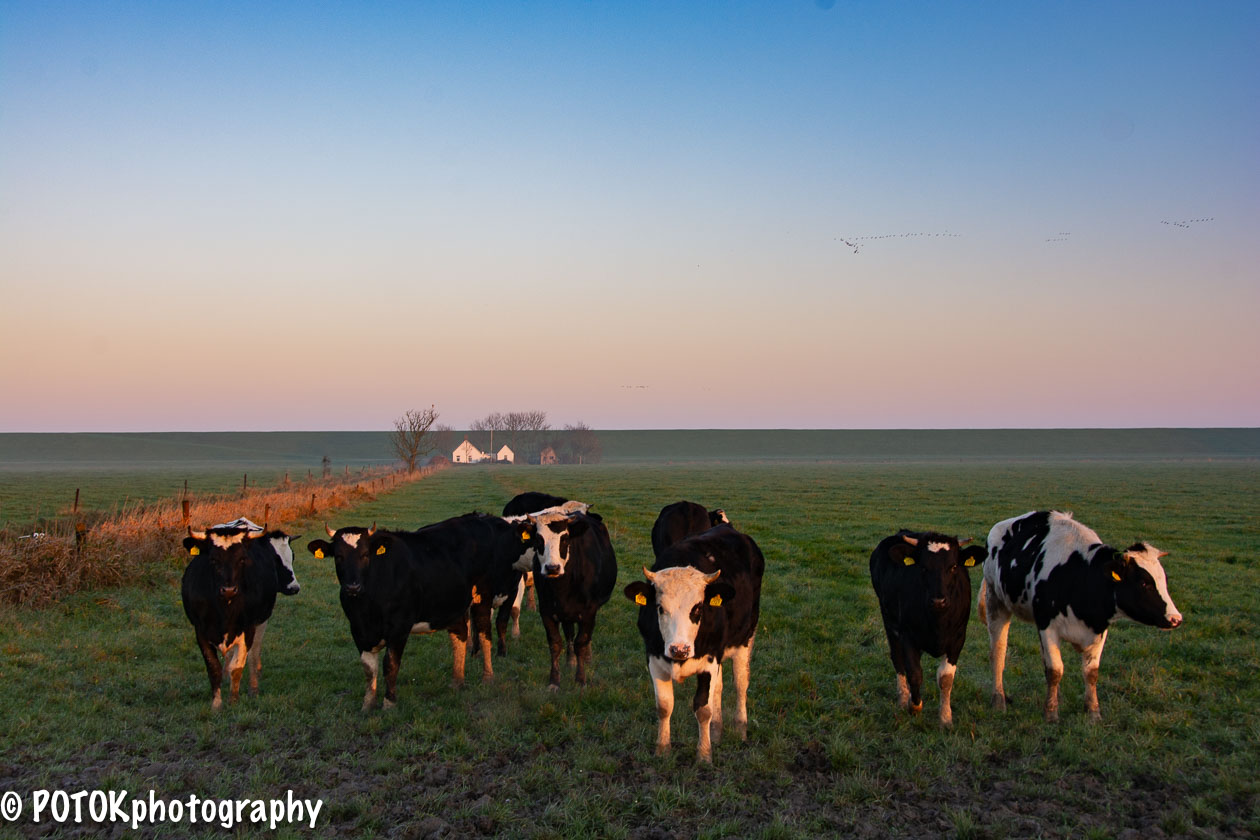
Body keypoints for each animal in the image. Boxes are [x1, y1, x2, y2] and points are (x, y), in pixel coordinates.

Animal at [506, 506, 614, 690]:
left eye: (565, 539)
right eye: (538, 539)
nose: (552, 568)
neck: (563, 586)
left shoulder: (589, 611)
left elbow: (581, 642)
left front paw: (580, 679)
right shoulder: (547, 611)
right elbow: (556, 643)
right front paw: (554, 681)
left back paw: (587, 658)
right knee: (569, 633)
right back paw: (570, 661)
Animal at [622, 521, 761, 765]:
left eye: (697, 608)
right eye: (660, 608)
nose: (679, 649)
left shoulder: (709, 661)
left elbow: (703, 709)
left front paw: (704, 755)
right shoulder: (654, 658)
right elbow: (664, 706)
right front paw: (662, 749)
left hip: (746, 636)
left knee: (741, 683)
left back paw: (740, 728)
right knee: (719, 688)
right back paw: (717, 732)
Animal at [866, 528, 982, 725]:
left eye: (953, 567)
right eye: (923, 567)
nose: (938, 600)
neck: (938, 622)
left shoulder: (958, 639)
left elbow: (945, 678)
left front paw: (945, 717)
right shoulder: (907, 635)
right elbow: (914, 672)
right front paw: (914, 706)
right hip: (889, 620)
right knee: (898, 659)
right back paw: (903, 698)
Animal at [977, 513, 1184, 725]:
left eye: (1164, 581)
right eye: (1144, 583)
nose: (1176, 618)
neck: (1081, 576)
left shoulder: (1099, 629)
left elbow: (1090, 673)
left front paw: (1093, 713)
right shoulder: (1047, 626)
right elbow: (1055, 671)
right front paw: (1051, 714)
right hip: (996, 600)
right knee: (998, 653)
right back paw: (999, 700)